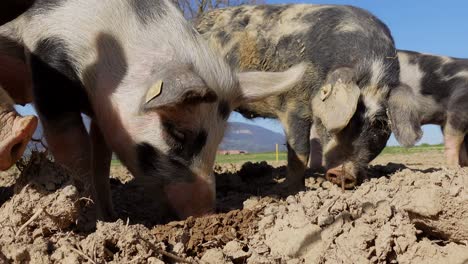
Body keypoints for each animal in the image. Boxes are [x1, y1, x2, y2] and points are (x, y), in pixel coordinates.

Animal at [0, 0, 304, 219]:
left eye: (219, 140)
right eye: (178, 134)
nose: (205, 213)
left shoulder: (104, 111)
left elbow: (101, 161)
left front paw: (110, 218)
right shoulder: (48, 66)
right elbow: (74, 150)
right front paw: (92, 219)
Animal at [196, 4, 400, 190]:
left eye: (378, 125)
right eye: (349, 119)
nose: (344, 173)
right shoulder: (293, 103)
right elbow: (300, 151)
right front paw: (290, 189)